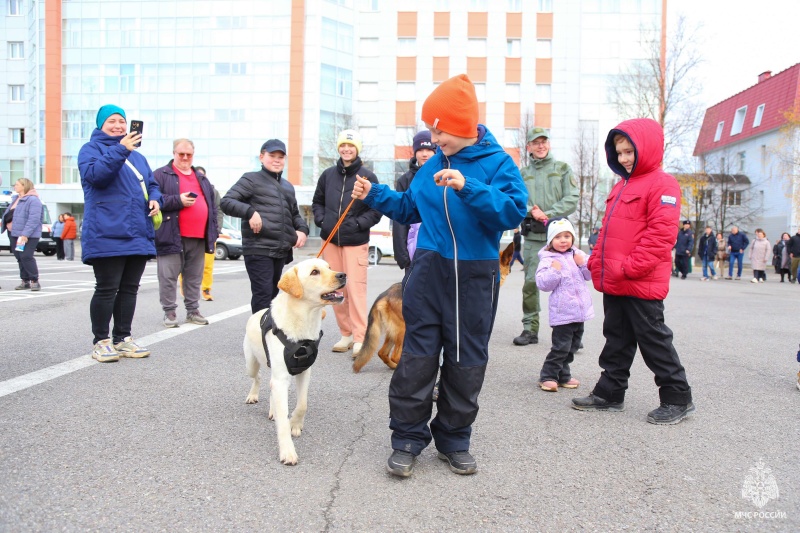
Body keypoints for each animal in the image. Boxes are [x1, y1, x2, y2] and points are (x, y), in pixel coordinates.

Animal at [242, 256, 346, 464]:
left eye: (329, 267)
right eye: (314, 272)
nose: (342, 275)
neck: (304, 322)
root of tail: (255, 314)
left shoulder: (304, 370)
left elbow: (302, 404)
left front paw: (295, 424)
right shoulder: (281, 378)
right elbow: (283, 421)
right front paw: (287, 451)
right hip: (251, 363)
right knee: (258, 378)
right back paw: (253, 396)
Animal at [354, 242, 516, 372]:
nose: (511, 270)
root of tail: (384, 295)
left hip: (394, 332)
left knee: (382, 353)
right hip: (403, 330)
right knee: (395, 354)